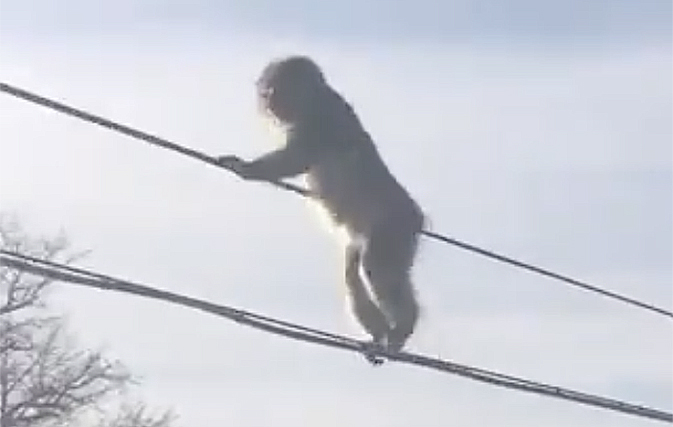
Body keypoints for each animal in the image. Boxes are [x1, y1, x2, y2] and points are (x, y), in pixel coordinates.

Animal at [218, 56, 422, 364]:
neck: (314, 98)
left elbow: (298, 157)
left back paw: (404, 328)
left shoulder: (321, 117)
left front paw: (245, 168)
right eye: (266, 92)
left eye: (274, 89)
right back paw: (379, 336)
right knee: (353, 268)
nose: (267, 101)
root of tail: (416, 217)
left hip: (393, 229)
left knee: (377, 267)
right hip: (367, 236)